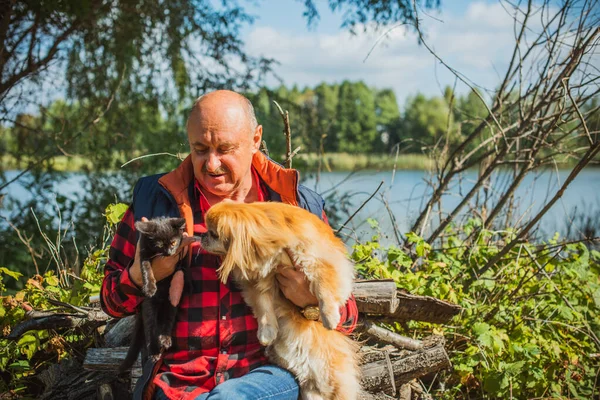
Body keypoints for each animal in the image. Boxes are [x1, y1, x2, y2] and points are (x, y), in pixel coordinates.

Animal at [202, 202, 360, 400]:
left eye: (213, 234)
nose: (202, 235)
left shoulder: (319, 260)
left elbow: (324, 287)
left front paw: (330, 317)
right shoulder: (259, 282)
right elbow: (264, 308)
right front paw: (266, 333)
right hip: (310, 388)